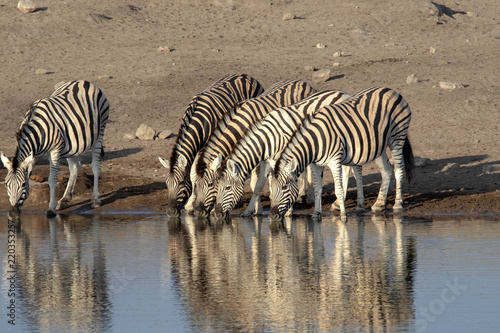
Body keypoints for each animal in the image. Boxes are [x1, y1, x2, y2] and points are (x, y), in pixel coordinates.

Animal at [0, 80, 110, 219]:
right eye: (6, 184)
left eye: (23, 184)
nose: (13, 213)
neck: (38, 131)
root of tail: (84, 82)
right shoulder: (34, 155)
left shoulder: (55, 152)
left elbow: (52, 180)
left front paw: (51, 209)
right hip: (72, 144)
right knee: (75, 167)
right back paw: (64, 200)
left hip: (100, 133)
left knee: (96, 166)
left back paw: (95, 200)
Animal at [158, 73, 264, 217]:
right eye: (166, 183)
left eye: (180, 182)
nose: (170, 212)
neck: (198, 121)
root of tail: (245, 75)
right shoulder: (197, 148)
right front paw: (192, 203)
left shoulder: (206, 145)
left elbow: (194, 174)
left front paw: (193, 203)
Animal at [192, 79, 316, 217]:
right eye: (196, 185)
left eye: (211, 184)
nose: (198, 212)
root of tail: (303, 82)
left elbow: (255, 182)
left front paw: (263, 209)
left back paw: (309, 197)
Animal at [211, 88, 352, 219]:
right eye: (216, 186)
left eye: (227, 187)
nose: (216, 214)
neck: (268, 138)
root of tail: (344, 93)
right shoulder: (266, 162)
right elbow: (258, 186)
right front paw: (248, 211)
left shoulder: (282, 158)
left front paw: (287, 211)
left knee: (346, 168)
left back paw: (337, 203)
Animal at [268, 87, 416, 220]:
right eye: (272, 188)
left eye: (284, 187)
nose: (272, 215)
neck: (315, 142)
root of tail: (391, 90)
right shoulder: (316, 165)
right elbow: (317, 190)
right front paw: (316, 215)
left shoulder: (334, 160)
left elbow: (338, 190)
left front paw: (343, 216)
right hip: (379, 145)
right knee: (386, 170)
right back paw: (378, 204)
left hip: (397, 138)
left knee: (398, 170)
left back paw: (397, 205)